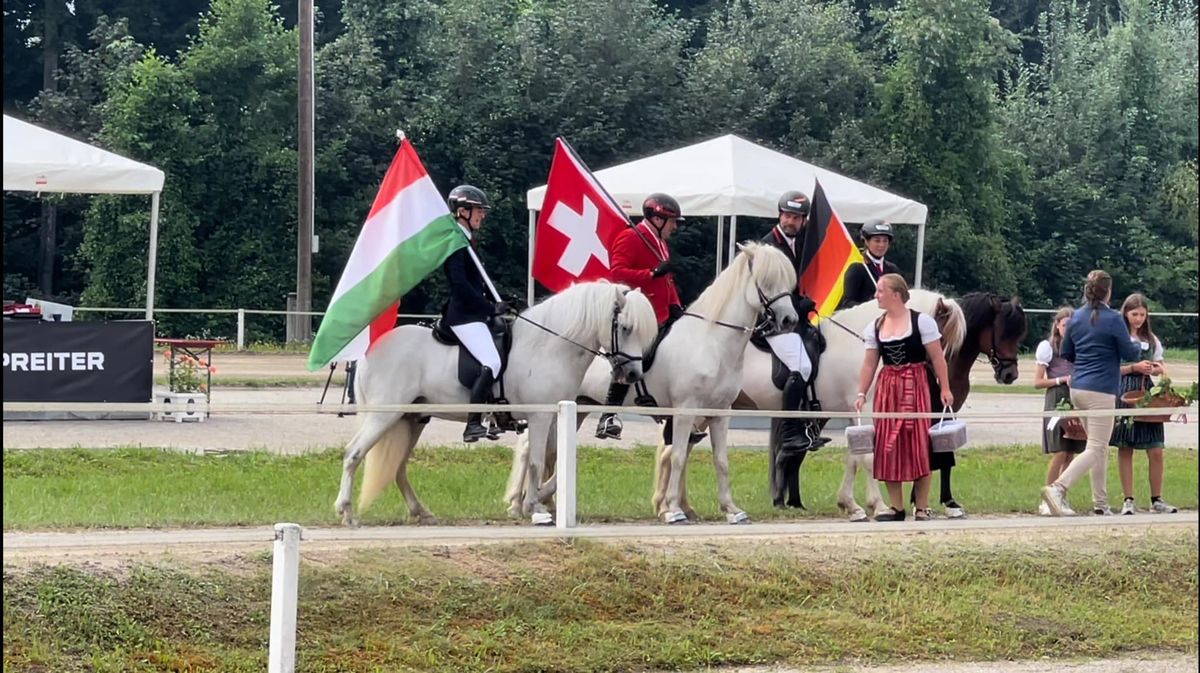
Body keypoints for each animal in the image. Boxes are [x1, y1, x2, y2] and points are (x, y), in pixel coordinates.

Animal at [336, 278, 657, 525]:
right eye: (625, 327)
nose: (633, 373)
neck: (548, 346)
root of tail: (368, 351)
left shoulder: (557, 415)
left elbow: (557, 458)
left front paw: (530, 501)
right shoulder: (540, 416)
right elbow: (537, 461)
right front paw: (534, 507)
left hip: (411, 420)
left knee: (397, 467)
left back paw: (421, 512)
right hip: (384, 415)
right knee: (354, 453)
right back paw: (347, 512)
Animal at [501, 241, 801, 525]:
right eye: (766, 280)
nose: (789, 320)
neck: (712, 342)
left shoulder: (720, 413)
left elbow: (721, 461)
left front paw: (731, 509)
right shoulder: (685, 410)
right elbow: (677, 456)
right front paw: (674, 509)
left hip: (577, 409)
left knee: (549, 451)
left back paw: (541, 500)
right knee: (530, 448)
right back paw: (519, 503)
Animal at [734, 289, 969, 520]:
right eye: (940, 338)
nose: (944, 389)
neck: (860, 344)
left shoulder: (852, 411)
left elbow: (854, 458)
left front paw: (851, 505)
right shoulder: (866, 410)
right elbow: (868, 458)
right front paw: (879, 506)